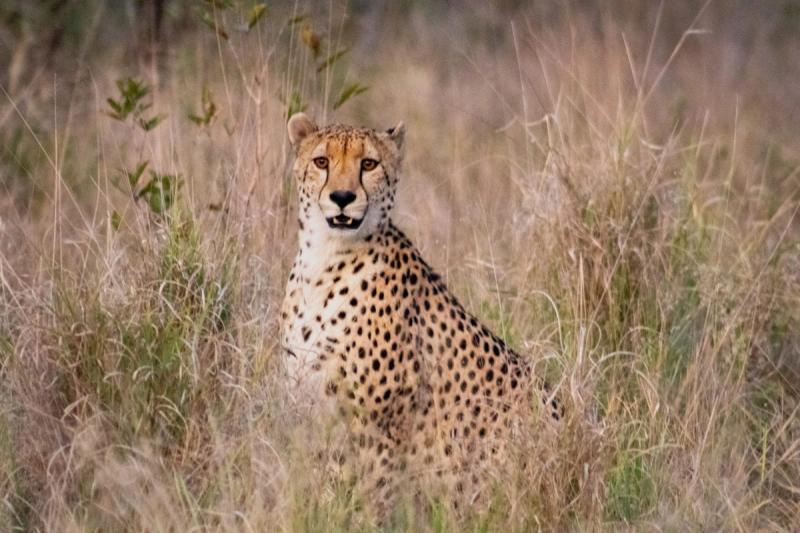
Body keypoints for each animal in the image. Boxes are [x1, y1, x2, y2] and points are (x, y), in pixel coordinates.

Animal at [279, 112, 562, 517]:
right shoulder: (313, 411)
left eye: (369, 164)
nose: (343, 198)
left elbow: (371, 495)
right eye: (322, 161)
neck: (325, 258)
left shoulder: (381, 426)